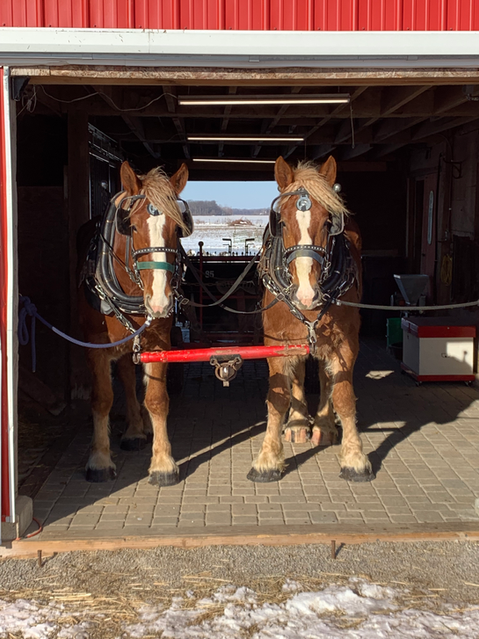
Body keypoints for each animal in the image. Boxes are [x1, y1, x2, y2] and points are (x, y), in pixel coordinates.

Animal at [78, 160, 191, 486]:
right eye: (134, 226)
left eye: (177, 228)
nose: (160, 301)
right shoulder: (95, 344)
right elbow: (102, 398)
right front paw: (99, 459)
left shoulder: (159, 341)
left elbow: (157, 398)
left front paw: (163, 462)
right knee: (126, 377)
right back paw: (132, 430)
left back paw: (138, 428)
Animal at [248, 156, 374, 484]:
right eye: (281, 222)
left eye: (329, 222)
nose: (307, 293)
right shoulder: (277, 343)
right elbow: (279, 396)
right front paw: (267, 458)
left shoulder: (345, 343)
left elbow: (342, 394)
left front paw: (355, 457)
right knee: (300, 375)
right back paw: (297, 423)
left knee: (325, 376)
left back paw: (323, 425)